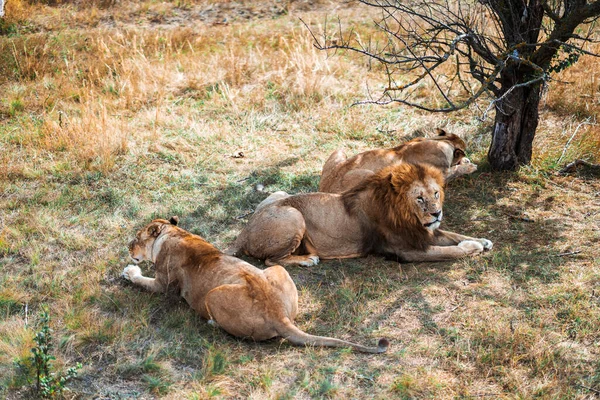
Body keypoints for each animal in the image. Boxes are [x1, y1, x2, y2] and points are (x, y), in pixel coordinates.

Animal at [122, 219, 390, 354]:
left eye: (136, 238)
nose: (128, 246)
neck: (174, 232)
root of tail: (278, 315)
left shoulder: (163, 285)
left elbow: (142, 279)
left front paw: (129, 271)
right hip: (277, 271)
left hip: (213, 294)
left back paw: (212, 322)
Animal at [226, 162, 492, 266]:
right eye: (419, 198)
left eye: (436, 193)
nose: (437, 213)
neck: (406, 215)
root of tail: (245, 231)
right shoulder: (405, 250)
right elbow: (449, 251)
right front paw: (473, 247)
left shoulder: (422, 232)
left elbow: (454, 235)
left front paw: (482, 240)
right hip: (293, 215)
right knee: (270, 261)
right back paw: (307, 259)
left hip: (280, 192)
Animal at [322, 126, 476, 192]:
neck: (445, 141)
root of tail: (325, 188)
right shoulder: (439, 173)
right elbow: (456, 169)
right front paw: (470, 166)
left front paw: (467, 161)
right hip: (368, 174)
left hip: (340, 151)